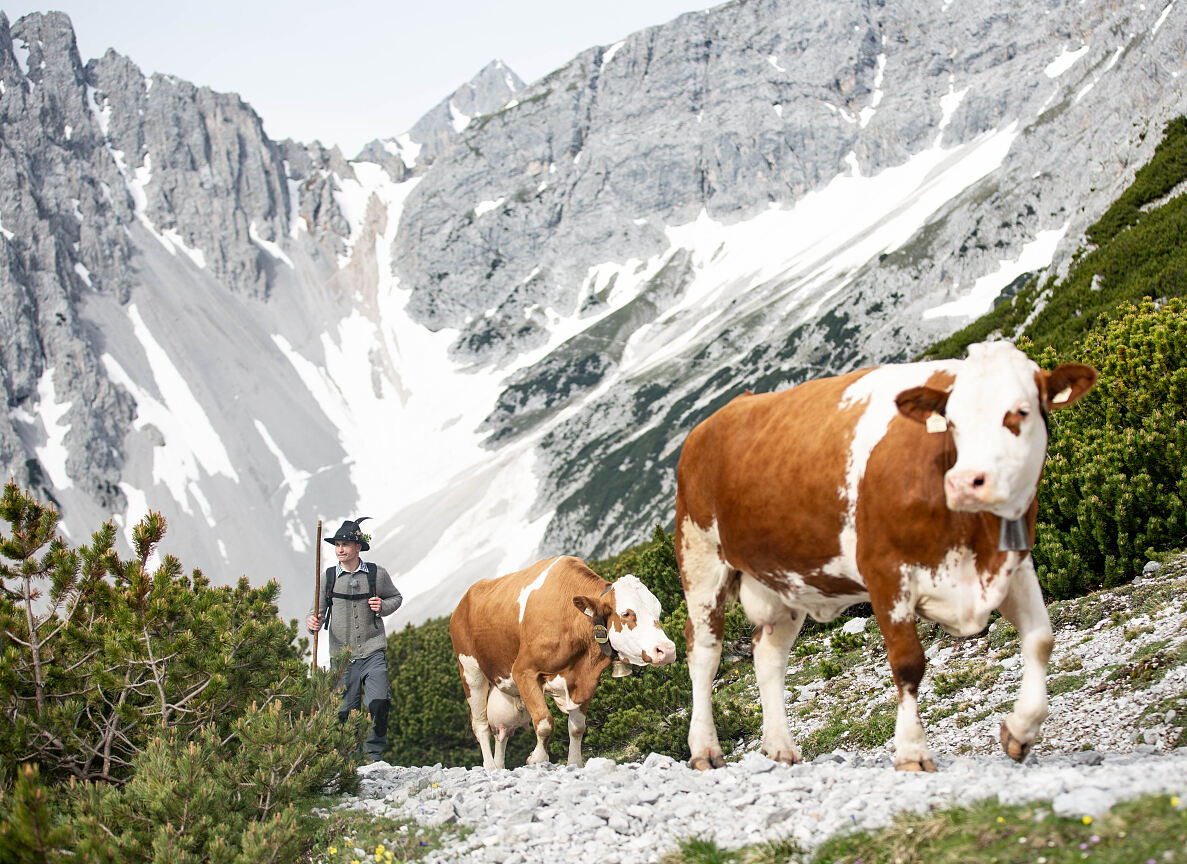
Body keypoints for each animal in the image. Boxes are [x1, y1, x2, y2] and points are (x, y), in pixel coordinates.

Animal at [446, 557, 674, 773]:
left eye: (659, 610)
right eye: (626, 613)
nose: (667, 650)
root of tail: (461, 604)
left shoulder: (585, 681)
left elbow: (577, 727)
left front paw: (574, 763)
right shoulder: (523, 671)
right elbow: (545, 722)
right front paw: (537, 759)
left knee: (501, 733)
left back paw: (500, 766)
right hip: (471, 672)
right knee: (481, 725)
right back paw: (491, 768)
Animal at [678, 341, 1092, 773]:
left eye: (1021, 412)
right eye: (952, 421)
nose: (966, 482)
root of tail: (720, 415)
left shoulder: (1014, 561)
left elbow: (1041, 638)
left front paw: (1020, 732)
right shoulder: (886, 572)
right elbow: (908, 662)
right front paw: (912, 752)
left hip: (786, 579)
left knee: (768, 653)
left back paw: (780, 747)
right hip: (700, 557)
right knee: (704, 651)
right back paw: (705, 749)